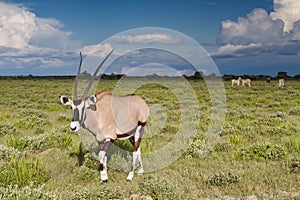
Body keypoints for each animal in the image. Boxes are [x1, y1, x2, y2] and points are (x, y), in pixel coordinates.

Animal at [59, 50, 149, 182]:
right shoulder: (100, 140)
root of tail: (142, 102)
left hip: (140, 128)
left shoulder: (111, 138)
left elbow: (101, 155)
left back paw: (130, 175)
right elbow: (104, 156)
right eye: (71, 107)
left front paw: (104, 177)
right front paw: (104, 176)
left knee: (135, 150)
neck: (98, 114)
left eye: (84, 108)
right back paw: (141, 170)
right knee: (138, 148)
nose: (73, 127)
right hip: (131, 134)